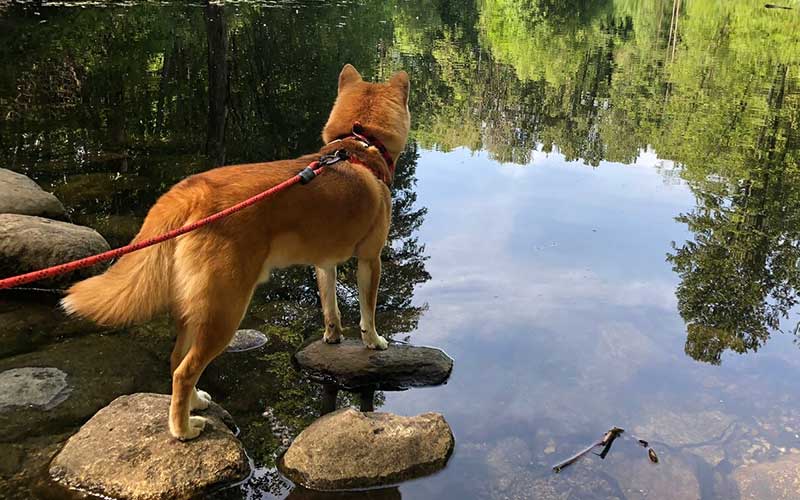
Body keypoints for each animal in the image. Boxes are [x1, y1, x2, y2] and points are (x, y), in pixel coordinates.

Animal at [61, 65, 412, 442]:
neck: (358, 146)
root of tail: (192, 192)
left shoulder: (324, 263)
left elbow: (330, 307)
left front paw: (332, 337)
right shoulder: (370, 259)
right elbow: (367, 312)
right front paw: (374, 341)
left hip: (196, 308)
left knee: (176, 360)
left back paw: (195, 403)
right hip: (225, 310)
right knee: (185, 370)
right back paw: (183, 428)